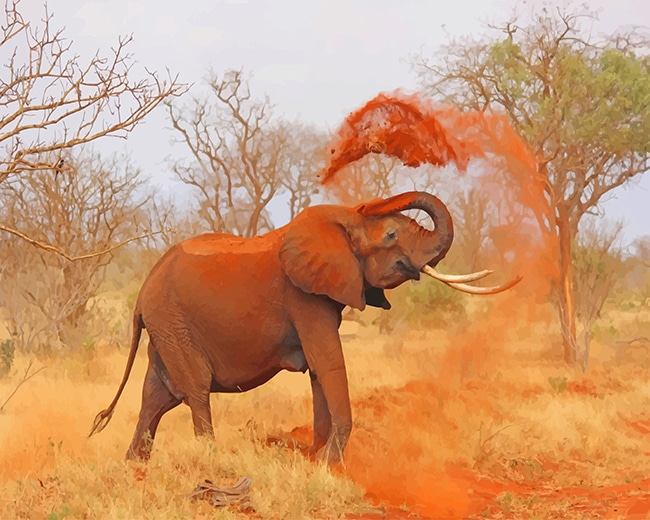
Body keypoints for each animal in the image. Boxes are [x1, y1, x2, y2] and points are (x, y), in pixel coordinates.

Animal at [89, 191, 517, 464]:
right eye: (392, 235)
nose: (369, 202)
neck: (341, 222)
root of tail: (142, 293)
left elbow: (318, 369)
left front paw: (316, 456)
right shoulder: (303, 297)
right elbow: (328, 361)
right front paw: (330, 463)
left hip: (166, 327)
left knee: (156, 397)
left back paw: (134, 467)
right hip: (172, 321)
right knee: (193, 390)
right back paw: (210, 460)